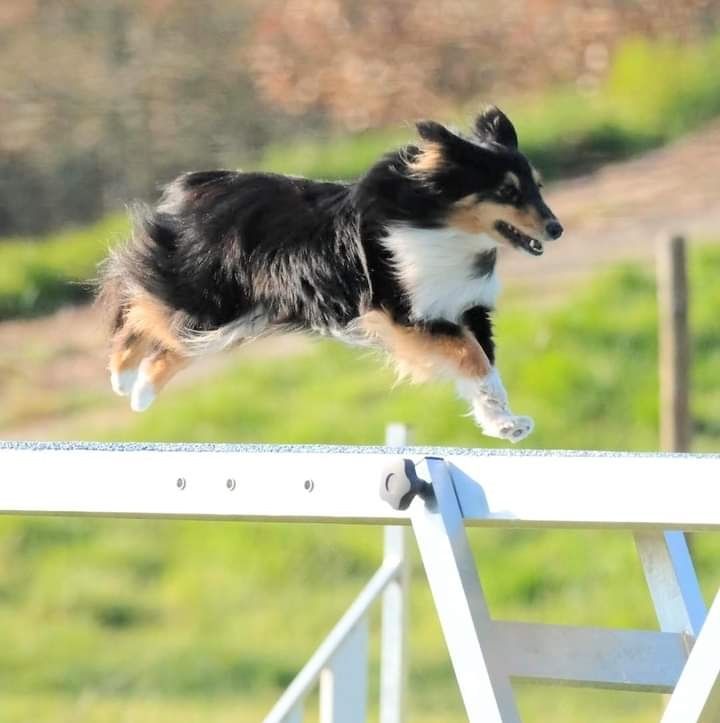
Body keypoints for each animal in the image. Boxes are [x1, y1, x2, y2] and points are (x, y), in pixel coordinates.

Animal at [98, 106, 564, 442]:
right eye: (507, 191)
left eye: (537, 187)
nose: (556, 229)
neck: (443, 225)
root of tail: (191, 191)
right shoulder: (402, 311)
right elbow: (471, 358)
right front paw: (505, 424)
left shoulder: (464, 308)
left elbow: (484, 368)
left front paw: (505, 425)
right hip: (208, 301)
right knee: (138, 304)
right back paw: (122, 375)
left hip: (233, 319)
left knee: (172, 344)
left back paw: (141, 392)